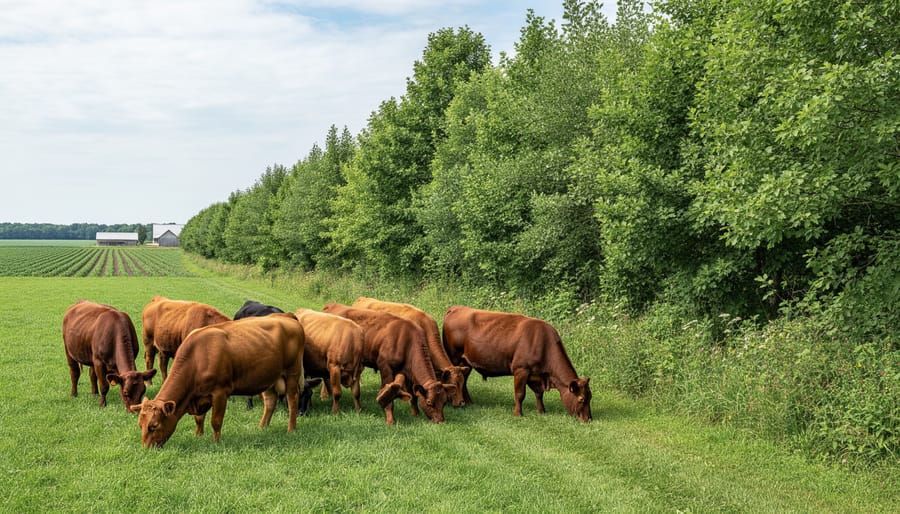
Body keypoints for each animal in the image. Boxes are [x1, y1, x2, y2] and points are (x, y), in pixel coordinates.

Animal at [129, 313, 305, 448]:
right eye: (140, 425)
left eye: (154, 426)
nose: (146, 448)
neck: (197, 357)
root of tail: (286, 315)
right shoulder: (199, 396)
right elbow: (199, 419)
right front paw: (198, 435)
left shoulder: (220, 392)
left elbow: (216, 421)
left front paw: (216, 442)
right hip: (269, 376)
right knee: (270, 401)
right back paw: (262, 427)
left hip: (292, 372)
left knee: (292, 399)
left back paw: (291, 429)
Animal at [322, 302, 454, 425]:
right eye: (429, 402)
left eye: (444, 401)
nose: (440, 421)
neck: (407, 341)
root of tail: (333, 305)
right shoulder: (385, 367)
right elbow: (389, 397)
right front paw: (390, 420)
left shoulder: (408, 372)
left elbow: (413, 394)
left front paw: (415, 414)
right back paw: (324, 396)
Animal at [442, 306, 592, 422]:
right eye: (581, 399)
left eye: (590, 397)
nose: (588, 419)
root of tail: (456, 308)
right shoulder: (521, 370)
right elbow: (520, 394)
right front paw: (518, 414)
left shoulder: (536, 375)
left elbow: (539, 394)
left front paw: (542, 411)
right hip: (454, 357)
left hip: (466, 362)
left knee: (464, 380)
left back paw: (468, 402)